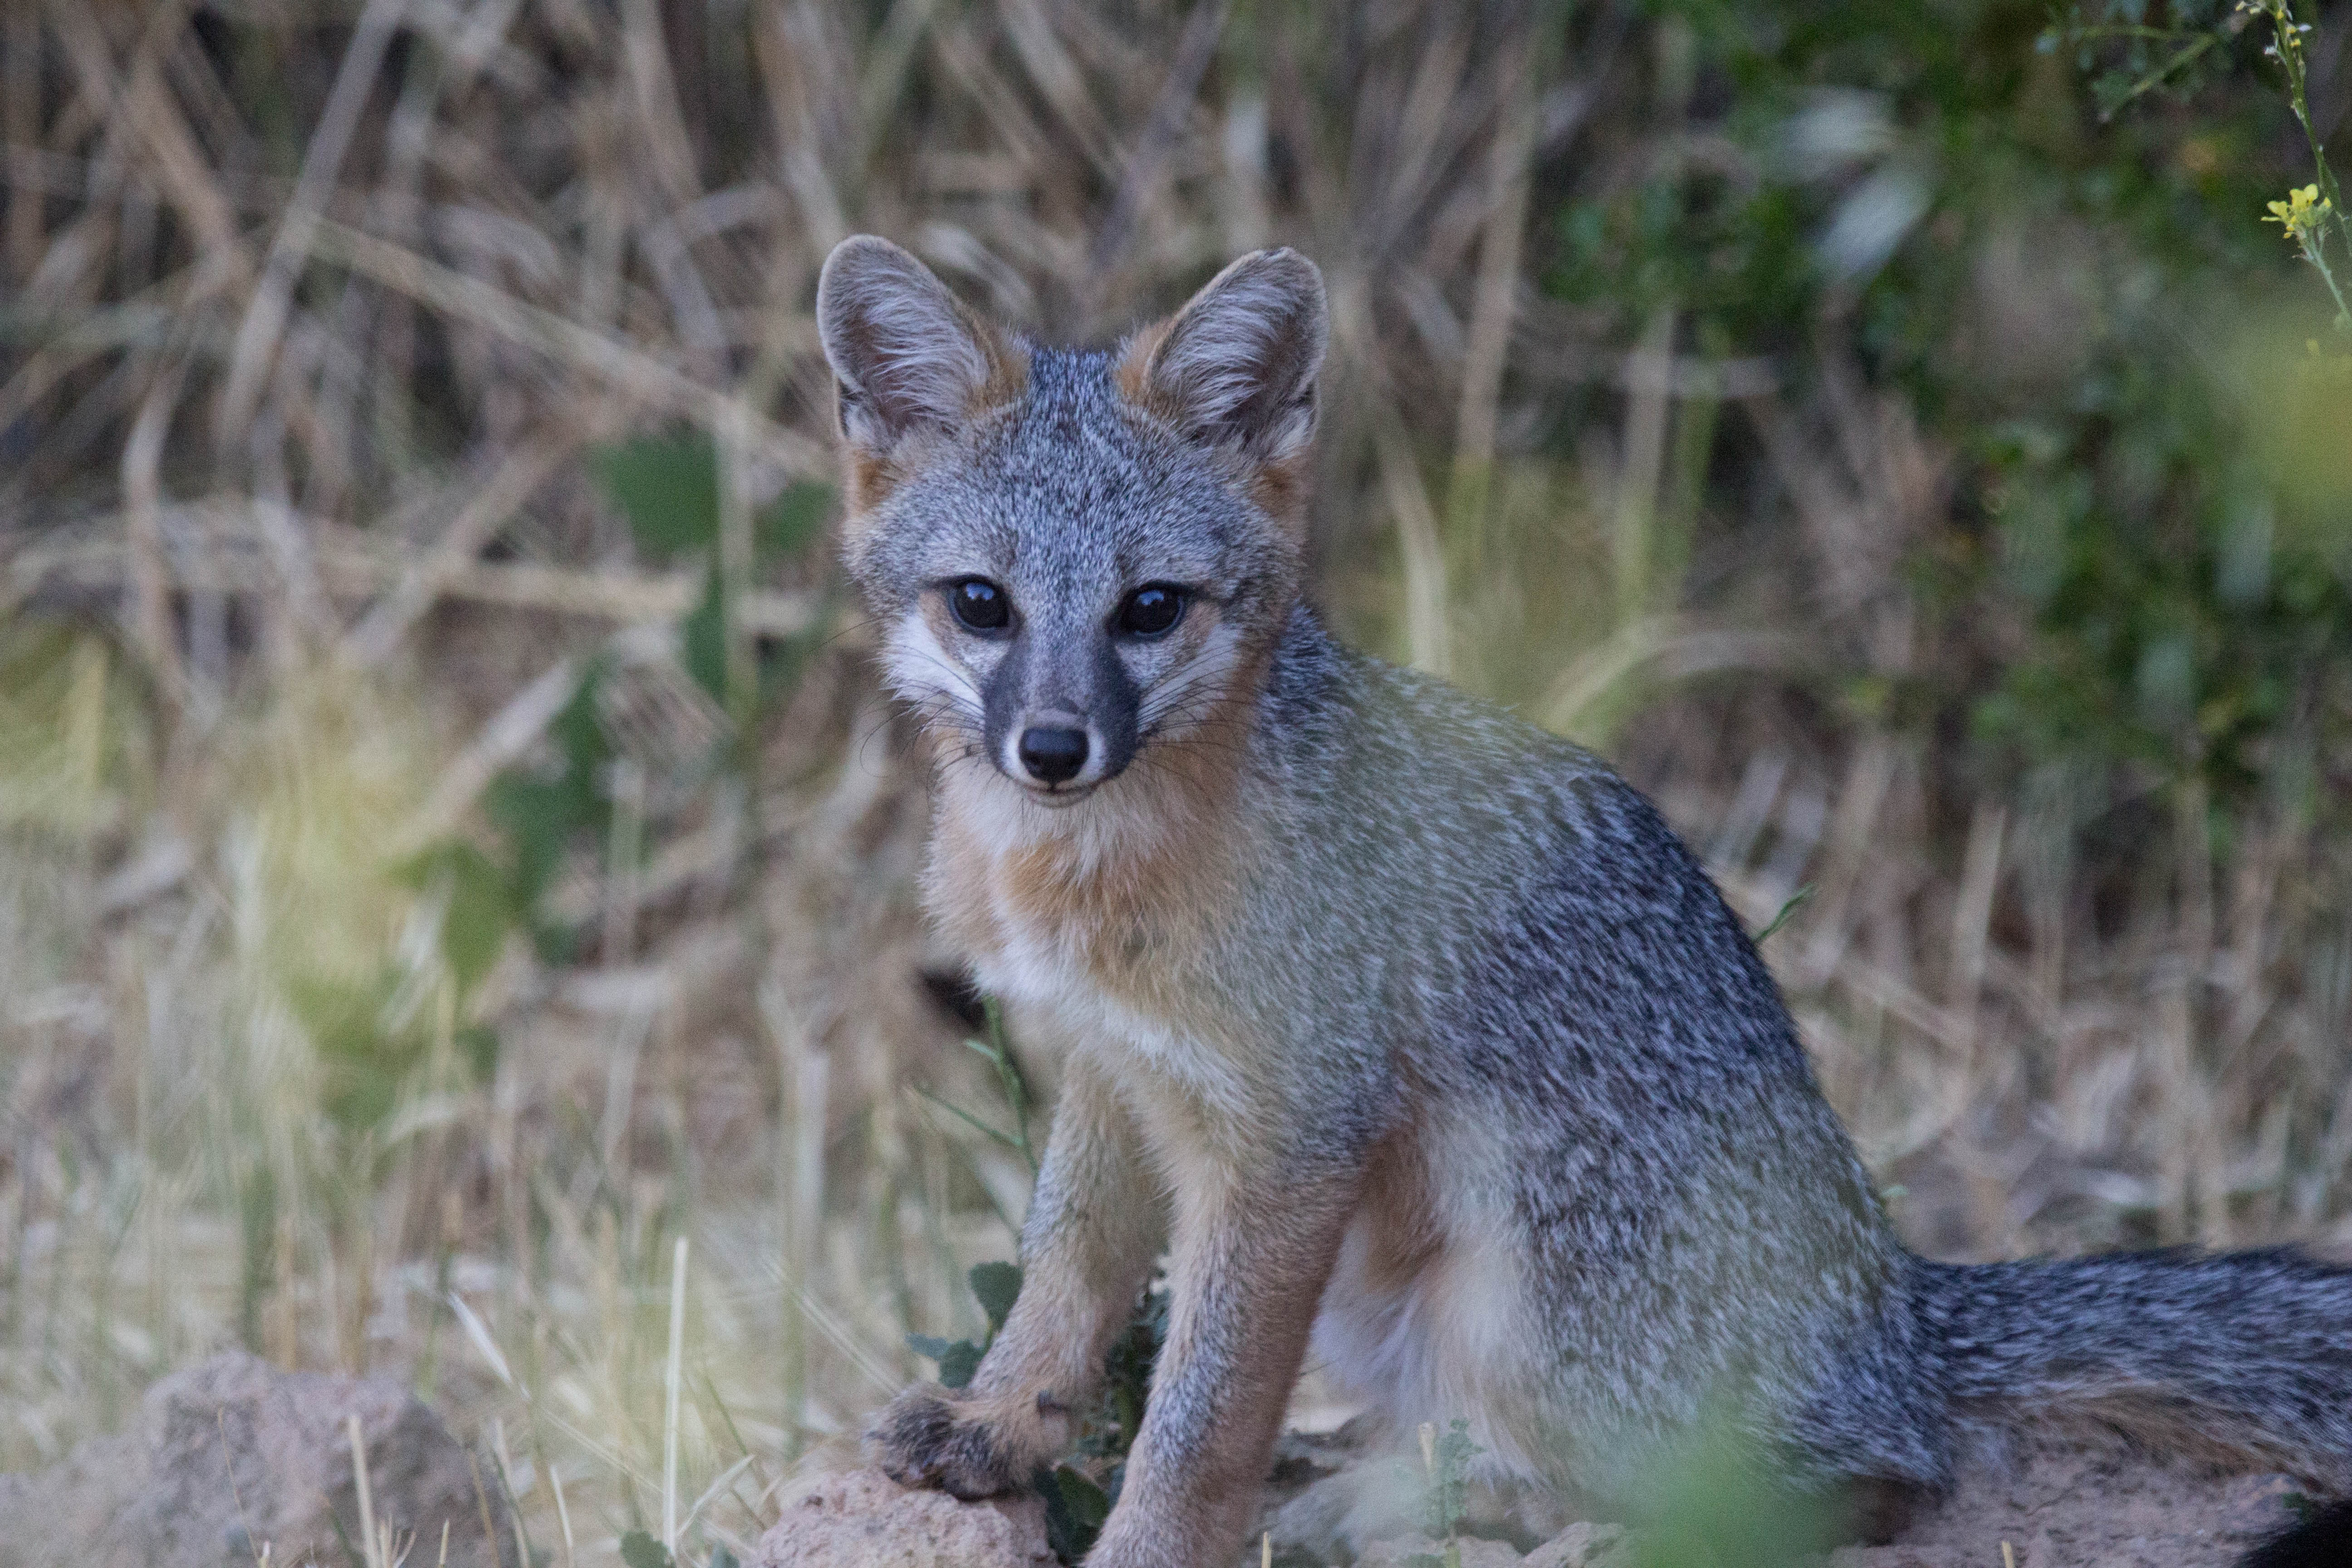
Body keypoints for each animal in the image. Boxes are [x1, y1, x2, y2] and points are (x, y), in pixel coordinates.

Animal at [812, 233, 2352, 1567]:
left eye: (1149, 610)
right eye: (982, 604)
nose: (1054, 747)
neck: (1089, 881)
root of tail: (1903, 1315)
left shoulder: (1288, 1141)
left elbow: (1199, 1421)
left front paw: (1144, 1546)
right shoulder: (1114, 1076)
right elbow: (1060, 1282)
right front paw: (997, 1425)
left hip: (1526, 1290)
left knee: (1869, 1476)